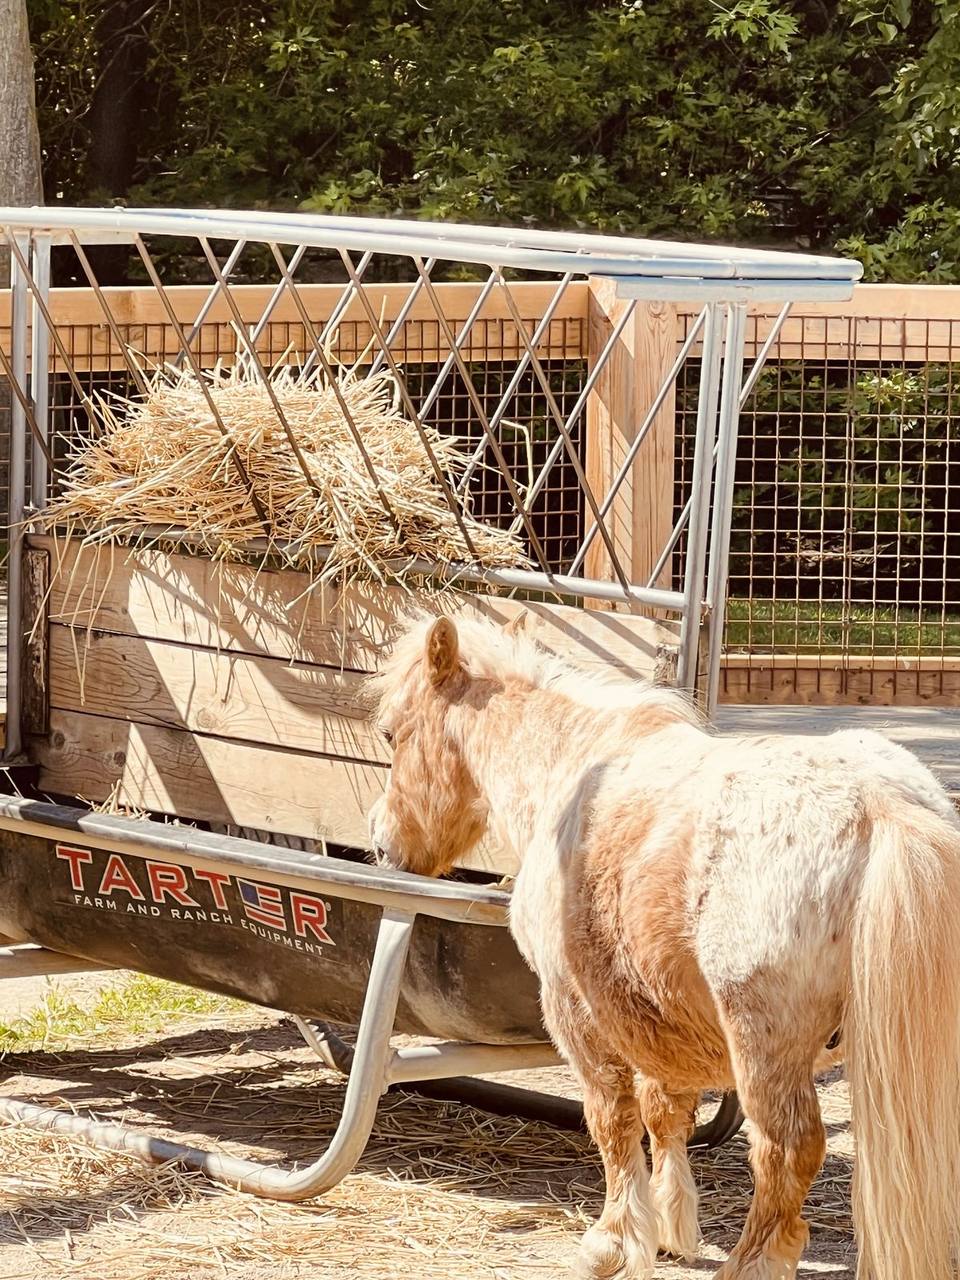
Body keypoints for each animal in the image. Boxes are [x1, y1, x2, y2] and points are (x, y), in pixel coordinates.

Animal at [368, 613, 960, 1280]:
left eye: (391, 733)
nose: (382, 843)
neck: (570, 766)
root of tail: (880, 805)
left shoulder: (574, 1010)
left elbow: (612, 1117)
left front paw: (613, 1241)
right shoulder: (657, 1012)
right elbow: (664, 1111)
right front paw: (672, 1227)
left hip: (765, 1048)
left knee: (785, 1152)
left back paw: (749, 1265)